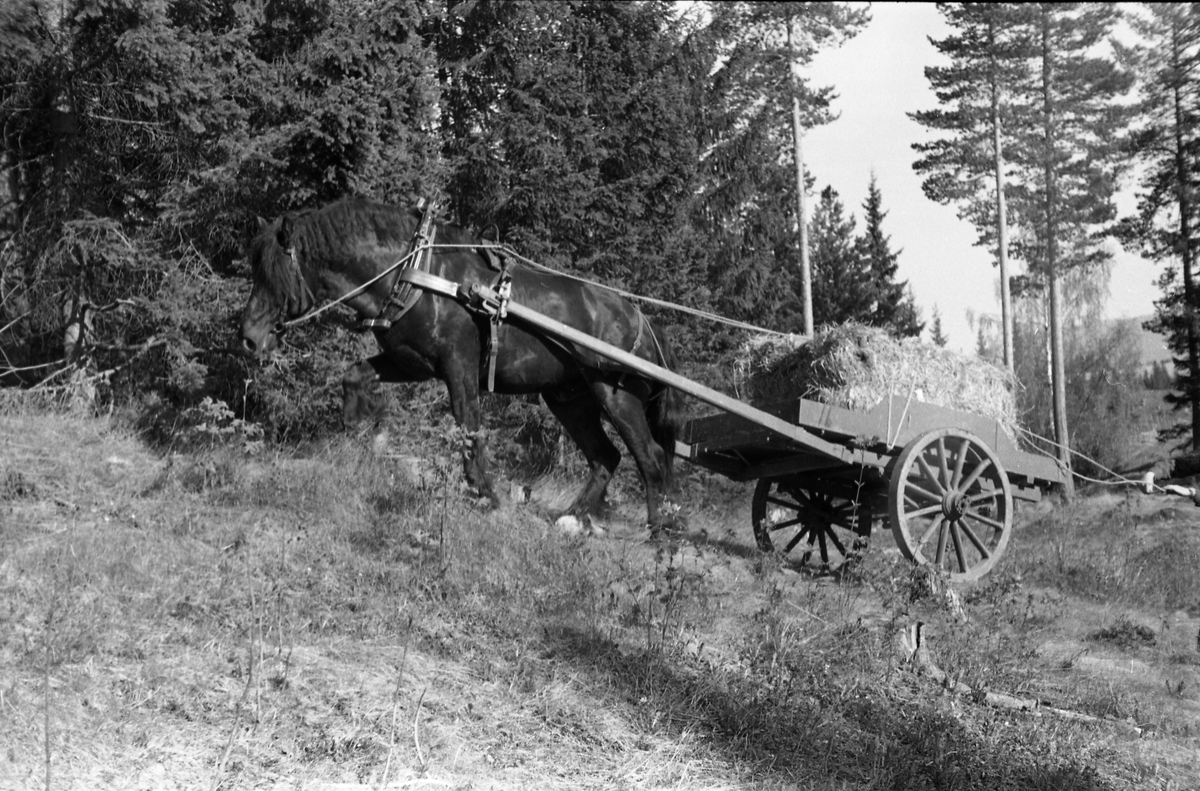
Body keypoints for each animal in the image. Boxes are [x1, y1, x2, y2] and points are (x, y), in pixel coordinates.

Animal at [238, 196, 686, 532]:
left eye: (274, 272)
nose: (248, 338)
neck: (412, 273)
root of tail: (643, 320)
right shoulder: (411, 362)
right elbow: (354, 376)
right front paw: (367, 425)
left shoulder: (459, 366)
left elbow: (468, 428)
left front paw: (486, 496)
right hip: (569, 400)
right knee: (605, 457)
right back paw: (572, 519)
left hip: (616, 395)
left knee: (649, 457)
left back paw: (660, 529)